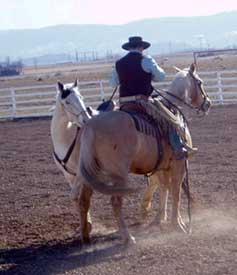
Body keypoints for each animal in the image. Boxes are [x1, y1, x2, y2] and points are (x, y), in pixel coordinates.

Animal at [51, 64, 210, 246]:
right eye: (200, 82)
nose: (208, 103)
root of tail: (90, 126)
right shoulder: (180, 163)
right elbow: (175, 191)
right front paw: (177, 225)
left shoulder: (162, 165)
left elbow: (165, 187)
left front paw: (162, 219)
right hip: (117, 174)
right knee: (115, 202)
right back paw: (128, 237)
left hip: (90, 173)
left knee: (84, 201)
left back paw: (86, 236)